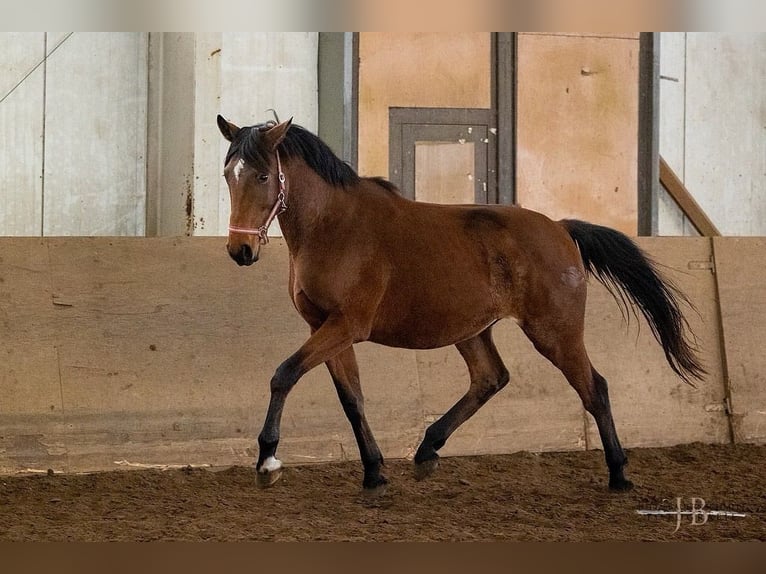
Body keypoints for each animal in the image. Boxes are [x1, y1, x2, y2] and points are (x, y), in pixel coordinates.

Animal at [216, 113, 708, 496]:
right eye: (228, 175)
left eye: (263, 175)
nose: (240, 251)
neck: (333, 227)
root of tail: (561, 229)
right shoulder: (324, 327)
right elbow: (351, 398)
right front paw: (374, 473)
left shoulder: (345, 325)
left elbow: (284, 375)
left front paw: (268, 461)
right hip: (473, 330)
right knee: (491, 378)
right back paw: (426, 450)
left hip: (555, 332)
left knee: (595, 388)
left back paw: (619, 474)